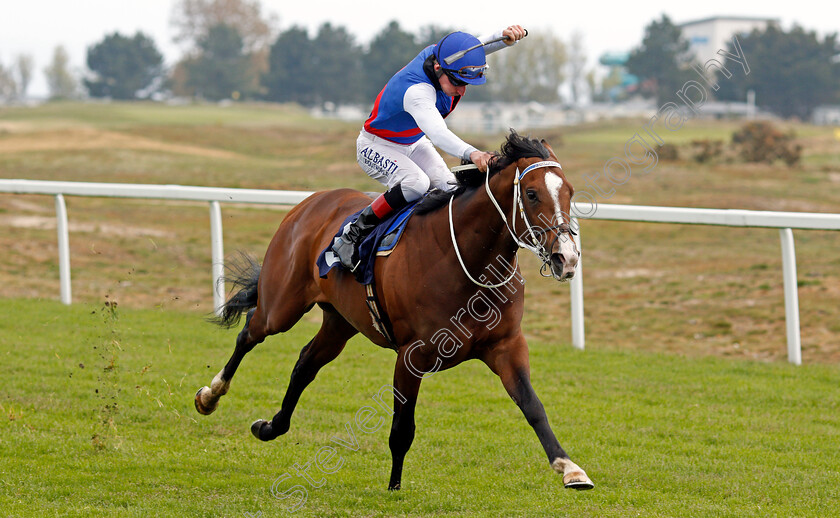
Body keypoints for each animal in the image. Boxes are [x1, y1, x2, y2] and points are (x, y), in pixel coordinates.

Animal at [195, 130, 592, 492]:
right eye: (532, 193)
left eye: (570, 192)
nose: (567, 258)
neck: (469, 262)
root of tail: (310, 203)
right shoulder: (412, 355)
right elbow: (402, 426)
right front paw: (394, 487)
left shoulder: (506, 346)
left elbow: (532, 406)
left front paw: (570, 468)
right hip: (282, 306)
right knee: (250, 331)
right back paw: (210, 395)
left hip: (340, 321)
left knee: (305, 363)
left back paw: (271, 427)